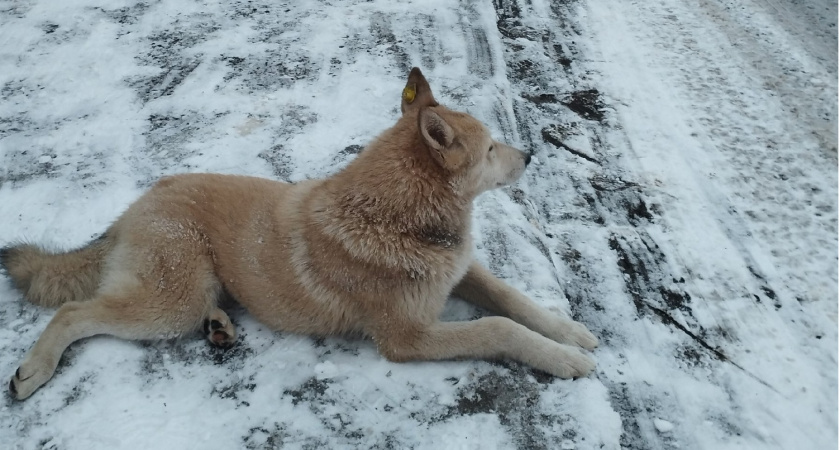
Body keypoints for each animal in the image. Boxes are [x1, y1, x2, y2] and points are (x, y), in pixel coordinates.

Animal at [1, 68, 596, 400]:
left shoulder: (461, 269)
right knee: (74, 312)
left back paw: (219, 326)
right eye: (492, 148)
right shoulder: (406, 339)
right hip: (169, 302)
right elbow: (498, 327)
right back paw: (35, 370)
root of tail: (133, 207)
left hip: (190, 290)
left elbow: (510, 298)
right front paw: (563, 359)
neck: (396, 216)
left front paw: (567, 331)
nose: (532, 155)